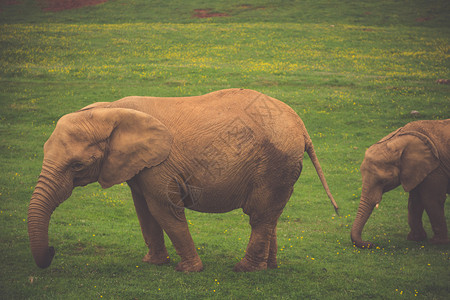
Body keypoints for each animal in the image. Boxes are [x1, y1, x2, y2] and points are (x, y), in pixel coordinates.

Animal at [28, 88, 338, 272]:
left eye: (77, 165)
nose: (53, 251)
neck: (111, 109)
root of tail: (302, 127)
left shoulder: (159, 166)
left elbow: (164, 208)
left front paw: (187, 270)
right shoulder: (139, 167)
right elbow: (144, 210)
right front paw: (153, 263)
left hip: (275, 163)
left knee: (259, 215)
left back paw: (245, 270)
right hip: (282, 166)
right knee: (270, 215)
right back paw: (269, 267)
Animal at [352, 119, 450, 248]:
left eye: (383, 181)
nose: (370, 243)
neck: (398, 137)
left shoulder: (436, 168)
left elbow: (431, 199)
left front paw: (437, 243)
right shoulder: (417, 169)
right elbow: (415, 200)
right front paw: (415, 239)